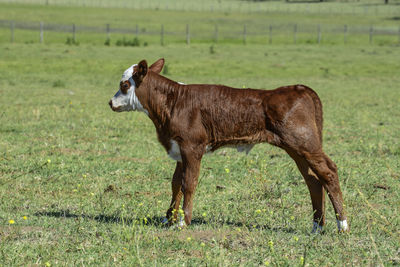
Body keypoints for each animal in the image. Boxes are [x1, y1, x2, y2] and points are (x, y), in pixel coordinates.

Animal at [108, 58, 346, 232]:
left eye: (125, 85)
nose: (110, 102)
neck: (173, 103)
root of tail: (299, 88)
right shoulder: (178, 148)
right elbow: (176, 183)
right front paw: (169, 219)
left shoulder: (192, 147)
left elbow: (189, 183)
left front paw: (184, 221)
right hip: (295, 148)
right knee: (313, 180)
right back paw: (317, 226)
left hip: (305, 143)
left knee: (329, 172)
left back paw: (342, 225)